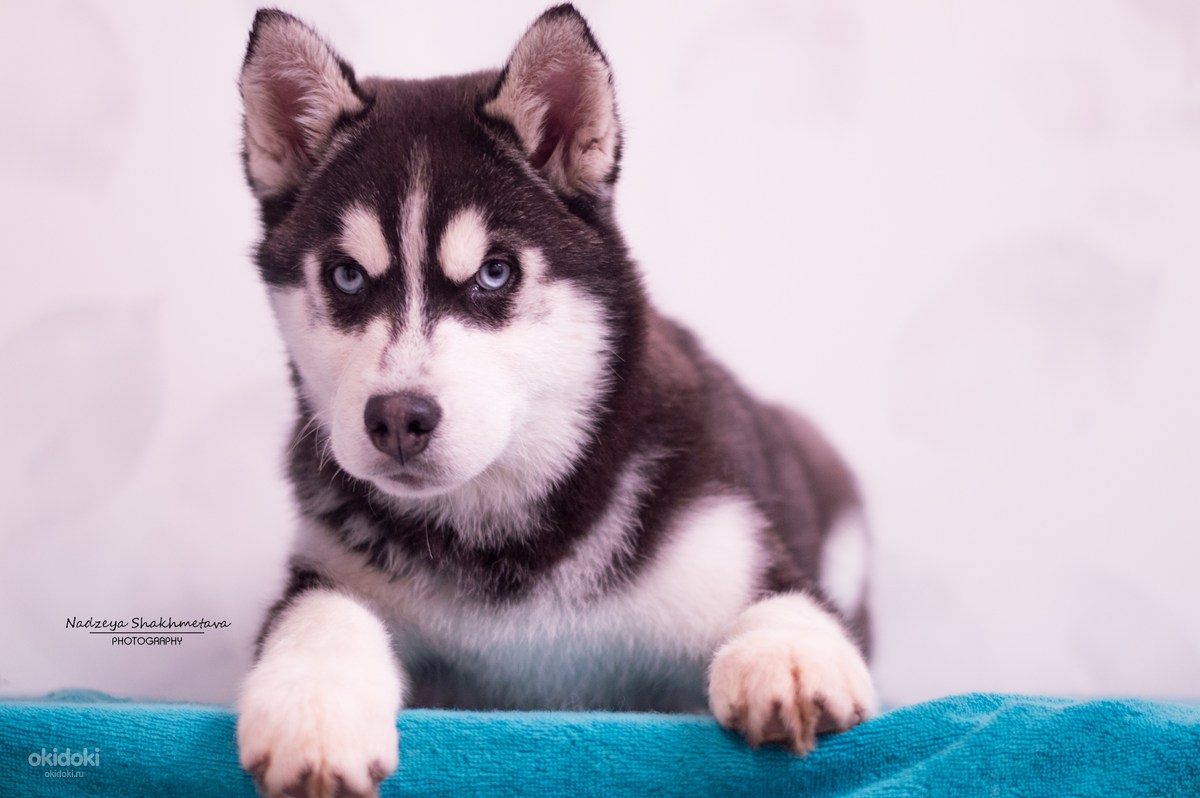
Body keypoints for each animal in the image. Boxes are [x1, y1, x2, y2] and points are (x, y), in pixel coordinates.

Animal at [234, 6, 878, 796]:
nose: (397, 419)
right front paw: (312, 712)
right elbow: (320, 614)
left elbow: (786, 605)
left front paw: (788, 660)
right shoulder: (332, 566)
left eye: (495, 273)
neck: (499, 538)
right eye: (346, 276)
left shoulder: (734, 544)